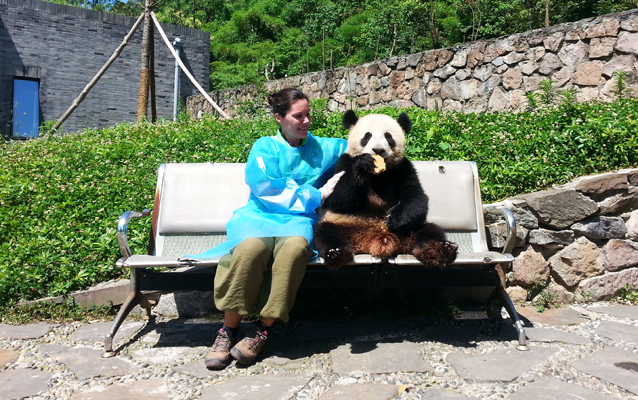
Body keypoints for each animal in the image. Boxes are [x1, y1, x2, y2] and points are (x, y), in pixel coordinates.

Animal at [316, 111, 460, 270]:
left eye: (388, 136)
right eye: (367, 136)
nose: (378, 150)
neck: (379, 174)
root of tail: (377, 240)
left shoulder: (402, 168)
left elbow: (415, 196)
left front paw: (394, 218)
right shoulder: (344, 162)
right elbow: (339, 199)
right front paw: (363, 165)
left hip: (410, 230)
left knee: (429, 231)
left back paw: (442, 250)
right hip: (344, 225)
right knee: (325, 233)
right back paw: (336, 254)